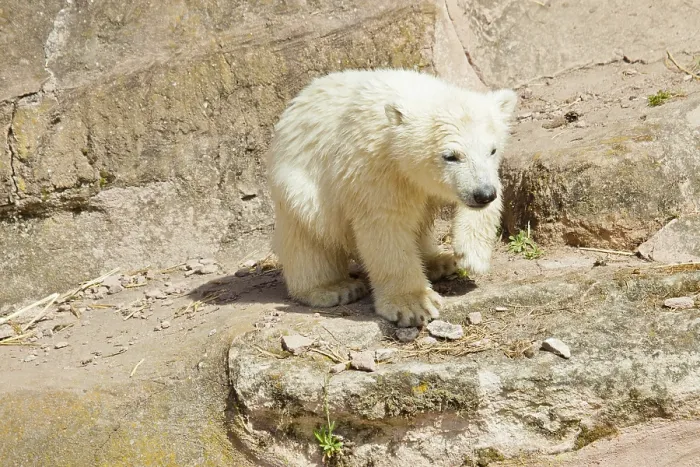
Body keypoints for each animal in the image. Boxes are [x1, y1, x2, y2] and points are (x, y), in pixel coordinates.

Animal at [266, 69, 517, 327]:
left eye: (492, 150)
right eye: (450, 156)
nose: (483, 194)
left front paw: (472, 255)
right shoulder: (375, 167)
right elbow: (386, 227)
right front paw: (414, 304)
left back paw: (440, 261)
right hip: (301, 191)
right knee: (308, 240)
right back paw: (335, 288)